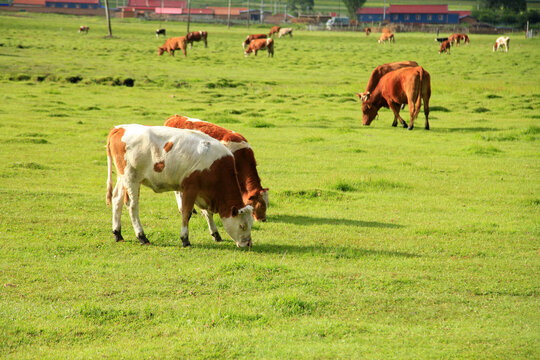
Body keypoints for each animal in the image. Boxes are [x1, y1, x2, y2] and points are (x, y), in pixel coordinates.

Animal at [108, 124, 258, 248]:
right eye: (242, 226)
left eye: (250, 224)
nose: (248, 244)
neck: (216, 166)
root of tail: (120, 128)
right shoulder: (190, 188)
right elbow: (186, 213)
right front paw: (185, 239)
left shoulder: (202, 193)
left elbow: (207, 213)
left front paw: (215, 233)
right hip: (131, 179)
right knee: (132, 206)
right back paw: (141, 236)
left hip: (122, 178)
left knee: (117, 200)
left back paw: (117, 233)